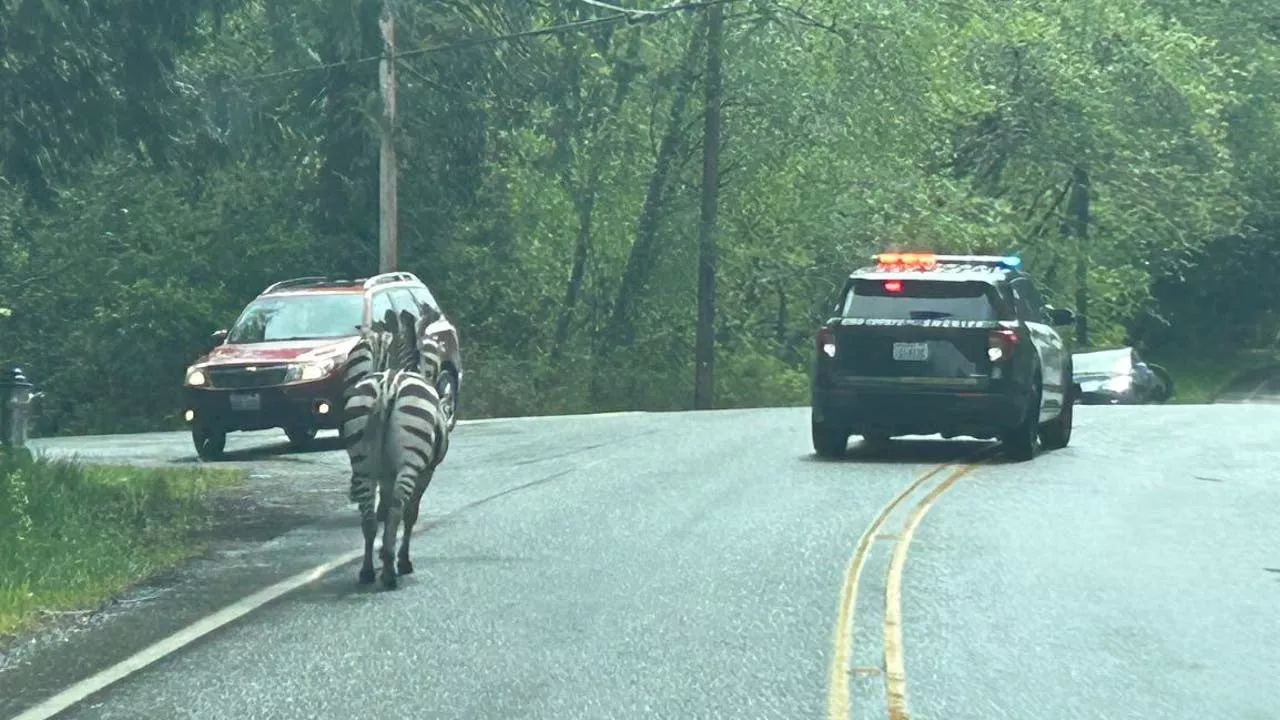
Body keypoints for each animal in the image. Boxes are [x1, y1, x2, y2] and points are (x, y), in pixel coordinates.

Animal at [340, 307, 450, 584]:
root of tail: (388, 387)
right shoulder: (427, 471)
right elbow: (411, 514)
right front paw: (403, 561)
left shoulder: (385, 473)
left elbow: (384, 506)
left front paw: (384, 555)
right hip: (411, 460)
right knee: (399, 508)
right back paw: (391, 571)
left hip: (363, 463)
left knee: (369, 515)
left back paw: (368, 570)